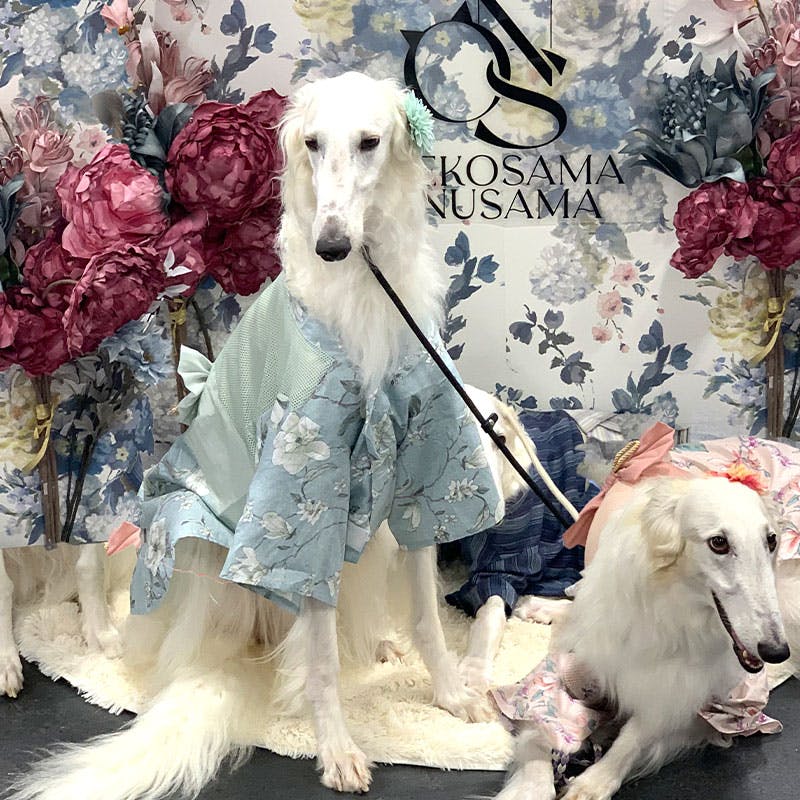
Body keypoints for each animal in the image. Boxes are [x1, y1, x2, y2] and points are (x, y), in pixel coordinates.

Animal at [8, 72, 509, 799]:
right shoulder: (306, 486)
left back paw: (377, 643)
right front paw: (337, 747)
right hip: (204, 543)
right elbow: (321, 655)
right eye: (311, 143)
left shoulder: (424, 462)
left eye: (369, 141)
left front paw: (450, 696)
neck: (365, 289)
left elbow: (425, 613)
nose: (332, 244)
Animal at [494, 476, 790, 800]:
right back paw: (537, 606)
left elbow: (632, 738)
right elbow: (540, 730)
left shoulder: (684, 705)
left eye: (771, 540)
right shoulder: (570, 668)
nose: (777, 651)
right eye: (719, 542)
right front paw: (529, 788)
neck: (669, 613)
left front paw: (592, 782)